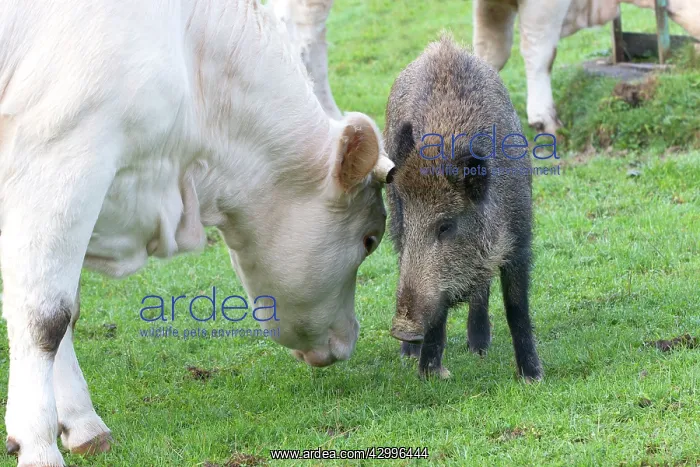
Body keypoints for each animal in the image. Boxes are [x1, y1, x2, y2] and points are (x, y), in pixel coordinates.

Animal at [0, 0, 396, 465]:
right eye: (370, 240)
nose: (349, 339)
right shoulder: (60, 156)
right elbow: (46, 317)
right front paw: (38, 445)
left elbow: (63, 307)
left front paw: (81, 423)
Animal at [384, 35, 544, 381]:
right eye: (410, 222)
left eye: (446, 225)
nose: (402, 330)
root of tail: (441, 45)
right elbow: (439, 312)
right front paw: (429, 374)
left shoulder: (520, 238)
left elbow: (517, 307)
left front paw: (533, 376)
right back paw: (409, 356)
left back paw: (479, 347)